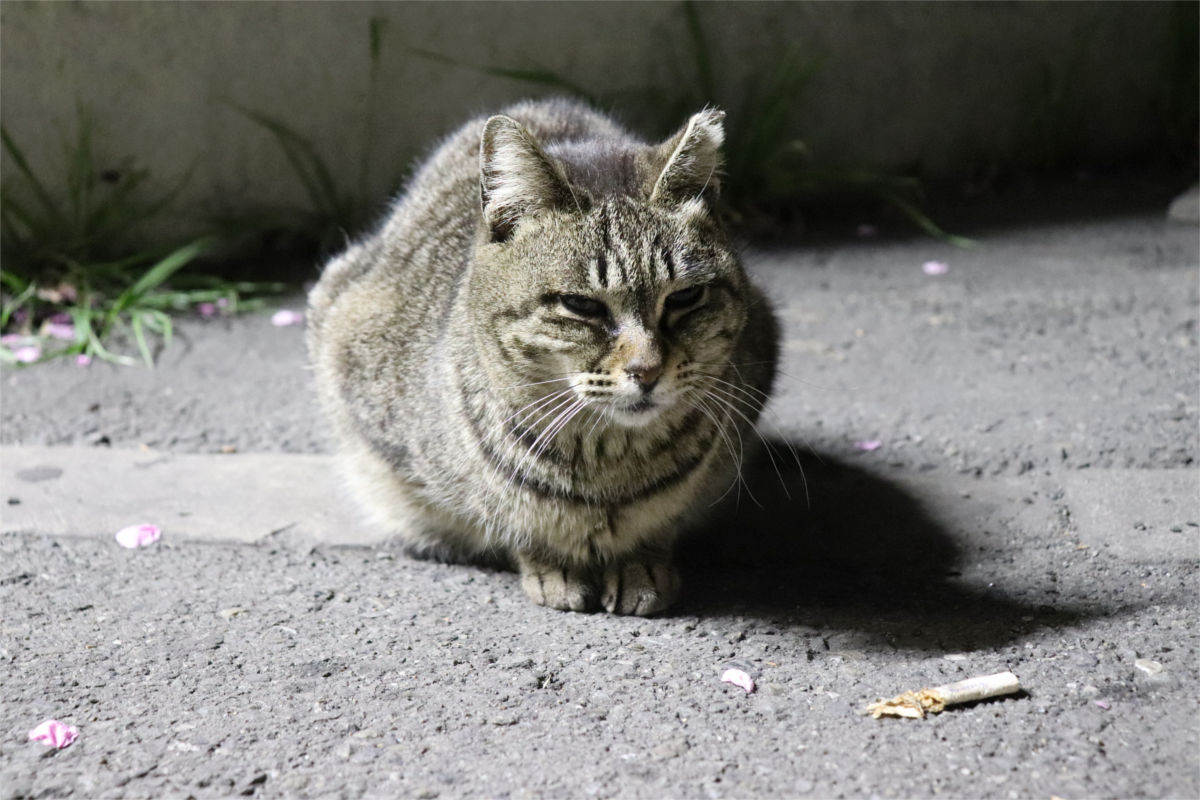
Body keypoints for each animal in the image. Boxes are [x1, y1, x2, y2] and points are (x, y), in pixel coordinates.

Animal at [307, 98, 777, 614]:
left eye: (685, 297)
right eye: (581, 305)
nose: (648, 370)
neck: (607, 472)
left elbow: (659, 525)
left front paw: (641, 566)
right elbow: (520, 524)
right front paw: (553, 566)